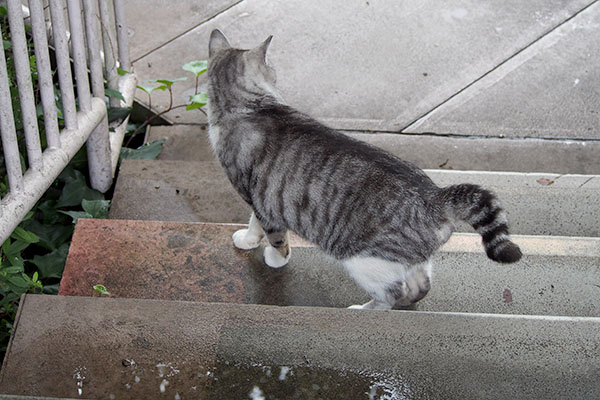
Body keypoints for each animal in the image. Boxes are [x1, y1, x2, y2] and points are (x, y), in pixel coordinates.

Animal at [205, 29, 520, 310]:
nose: (276, 76)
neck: (248, 107)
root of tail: (435, 198)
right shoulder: (260, 196)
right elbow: (254, 223)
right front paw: (250, 241)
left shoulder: (258, 198)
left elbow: (270, 233)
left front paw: (273, 256)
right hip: (405, 261)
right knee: (420, 287)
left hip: (363, 262)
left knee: (393, 294)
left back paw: (364, 309)